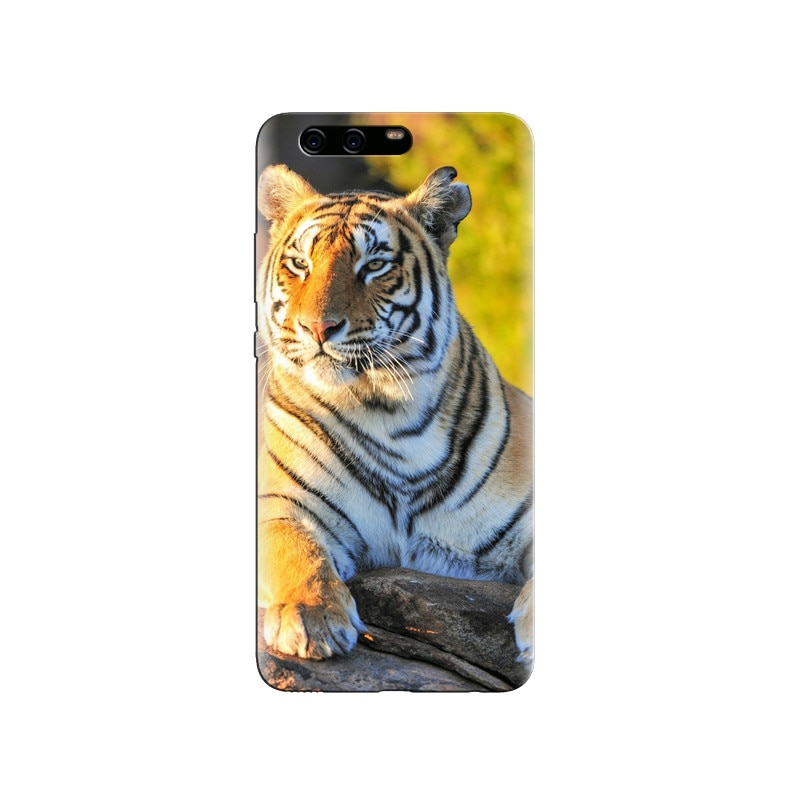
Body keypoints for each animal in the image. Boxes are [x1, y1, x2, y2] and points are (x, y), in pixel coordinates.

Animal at [256, 164, 533, 669]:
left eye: (373, 266)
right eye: (300, 264)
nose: (317, 327)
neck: (386, 412)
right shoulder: (281, 503)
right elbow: (296, 551)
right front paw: (310, 618)